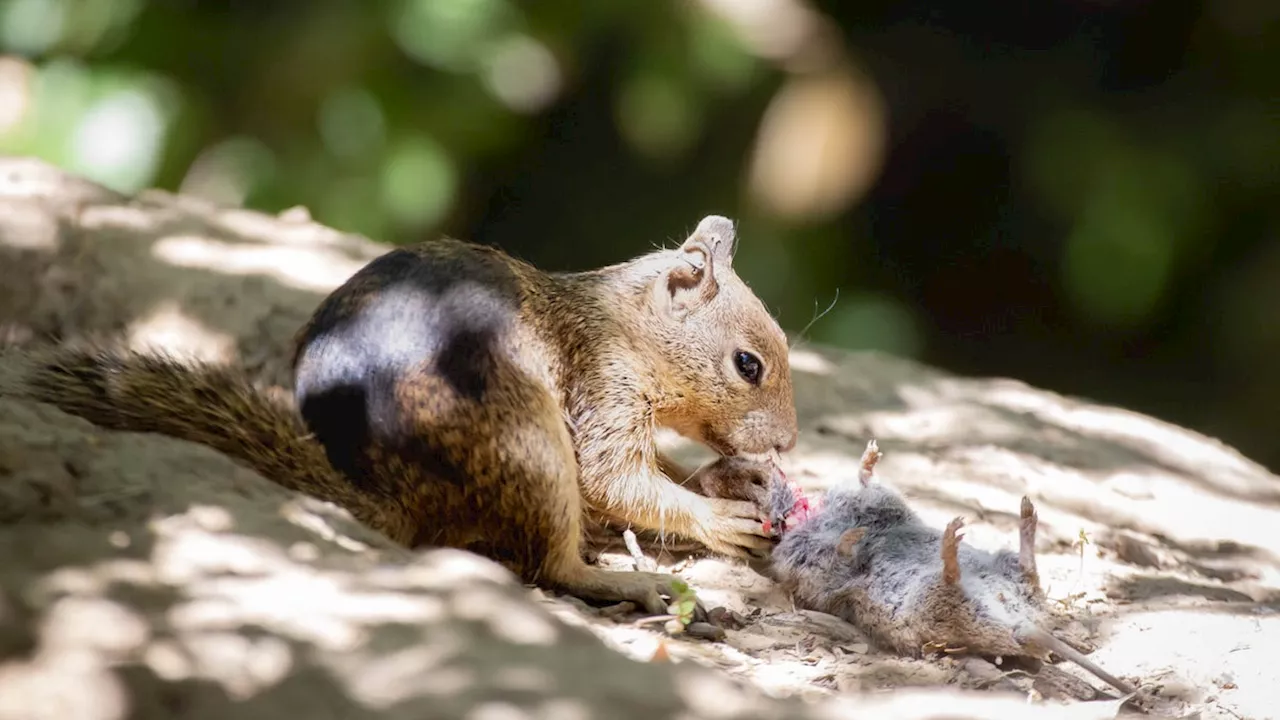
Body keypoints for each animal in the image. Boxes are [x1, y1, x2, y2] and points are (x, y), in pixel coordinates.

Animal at [17, 212, 798, 609]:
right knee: (549, 566)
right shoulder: (601, 384)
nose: (790, 443)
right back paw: (628, 581)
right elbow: (615, 479)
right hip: (530, 442)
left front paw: (735, 479)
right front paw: (719, 516)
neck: (621, 322)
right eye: (748, 364)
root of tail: (398, 497)